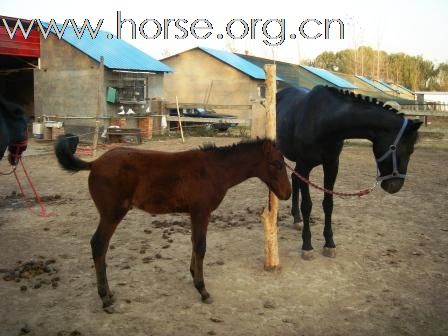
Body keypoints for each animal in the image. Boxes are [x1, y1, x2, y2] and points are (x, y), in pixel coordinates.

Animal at [278, 85, 422, 258]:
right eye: (409, 150)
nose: (395, 186)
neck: (322, 121)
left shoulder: (332, 165)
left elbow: (328, 204)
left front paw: (329, 243)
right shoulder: (305, 166)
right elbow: (307, 205)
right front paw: (307, 246)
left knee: (294, 178)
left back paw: (297, 219)